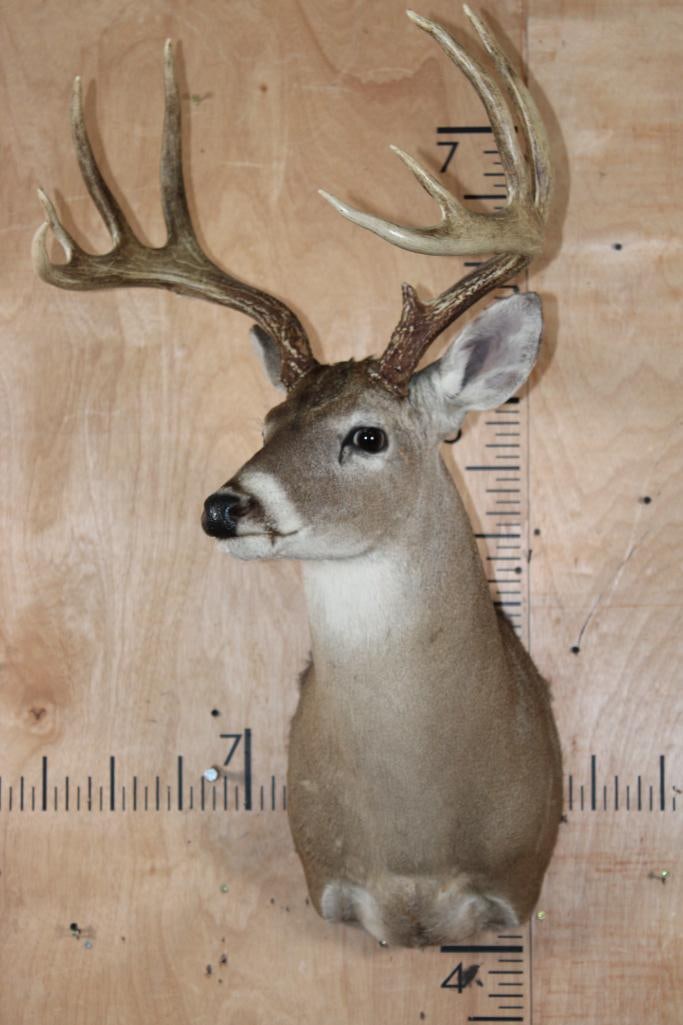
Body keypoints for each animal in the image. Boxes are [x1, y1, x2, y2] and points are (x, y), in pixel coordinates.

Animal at [33, 5, 562, 948]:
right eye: (268, 424)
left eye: (367, 435)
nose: (223, 505)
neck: (418, 837)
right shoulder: (333, 881)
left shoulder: (511, 887)